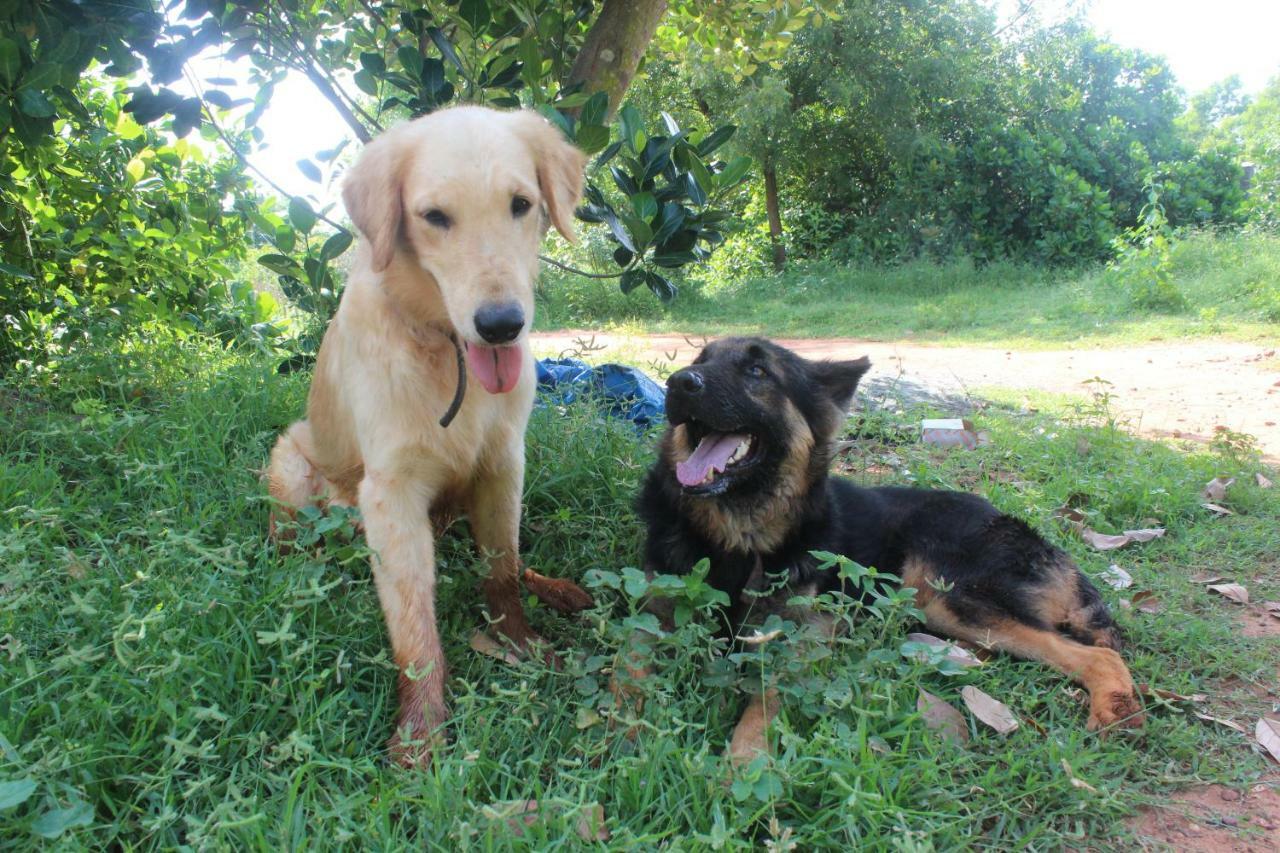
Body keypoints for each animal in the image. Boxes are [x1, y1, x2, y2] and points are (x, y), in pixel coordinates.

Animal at [268, 106, 593, 763]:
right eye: (435, 217)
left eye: (521, 204)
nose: (502, 325)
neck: (450, 350)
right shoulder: (391, 494)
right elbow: (416, 628)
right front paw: (420, 732)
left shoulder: (503, 464)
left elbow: (502, 569)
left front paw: (519, 641)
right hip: (291, 467)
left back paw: (556, 587)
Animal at [634, 335, 1146, 758]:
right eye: (699, 361)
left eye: (757, 371)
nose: (679, 383)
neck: (736, 537)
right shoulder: (650, 617)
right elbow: (629, 671)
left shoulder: (797, 641)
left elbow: (765, 700)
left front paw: (745, 762)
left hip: (948, 596)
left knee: (1098, 655)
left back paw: (1115, 709)